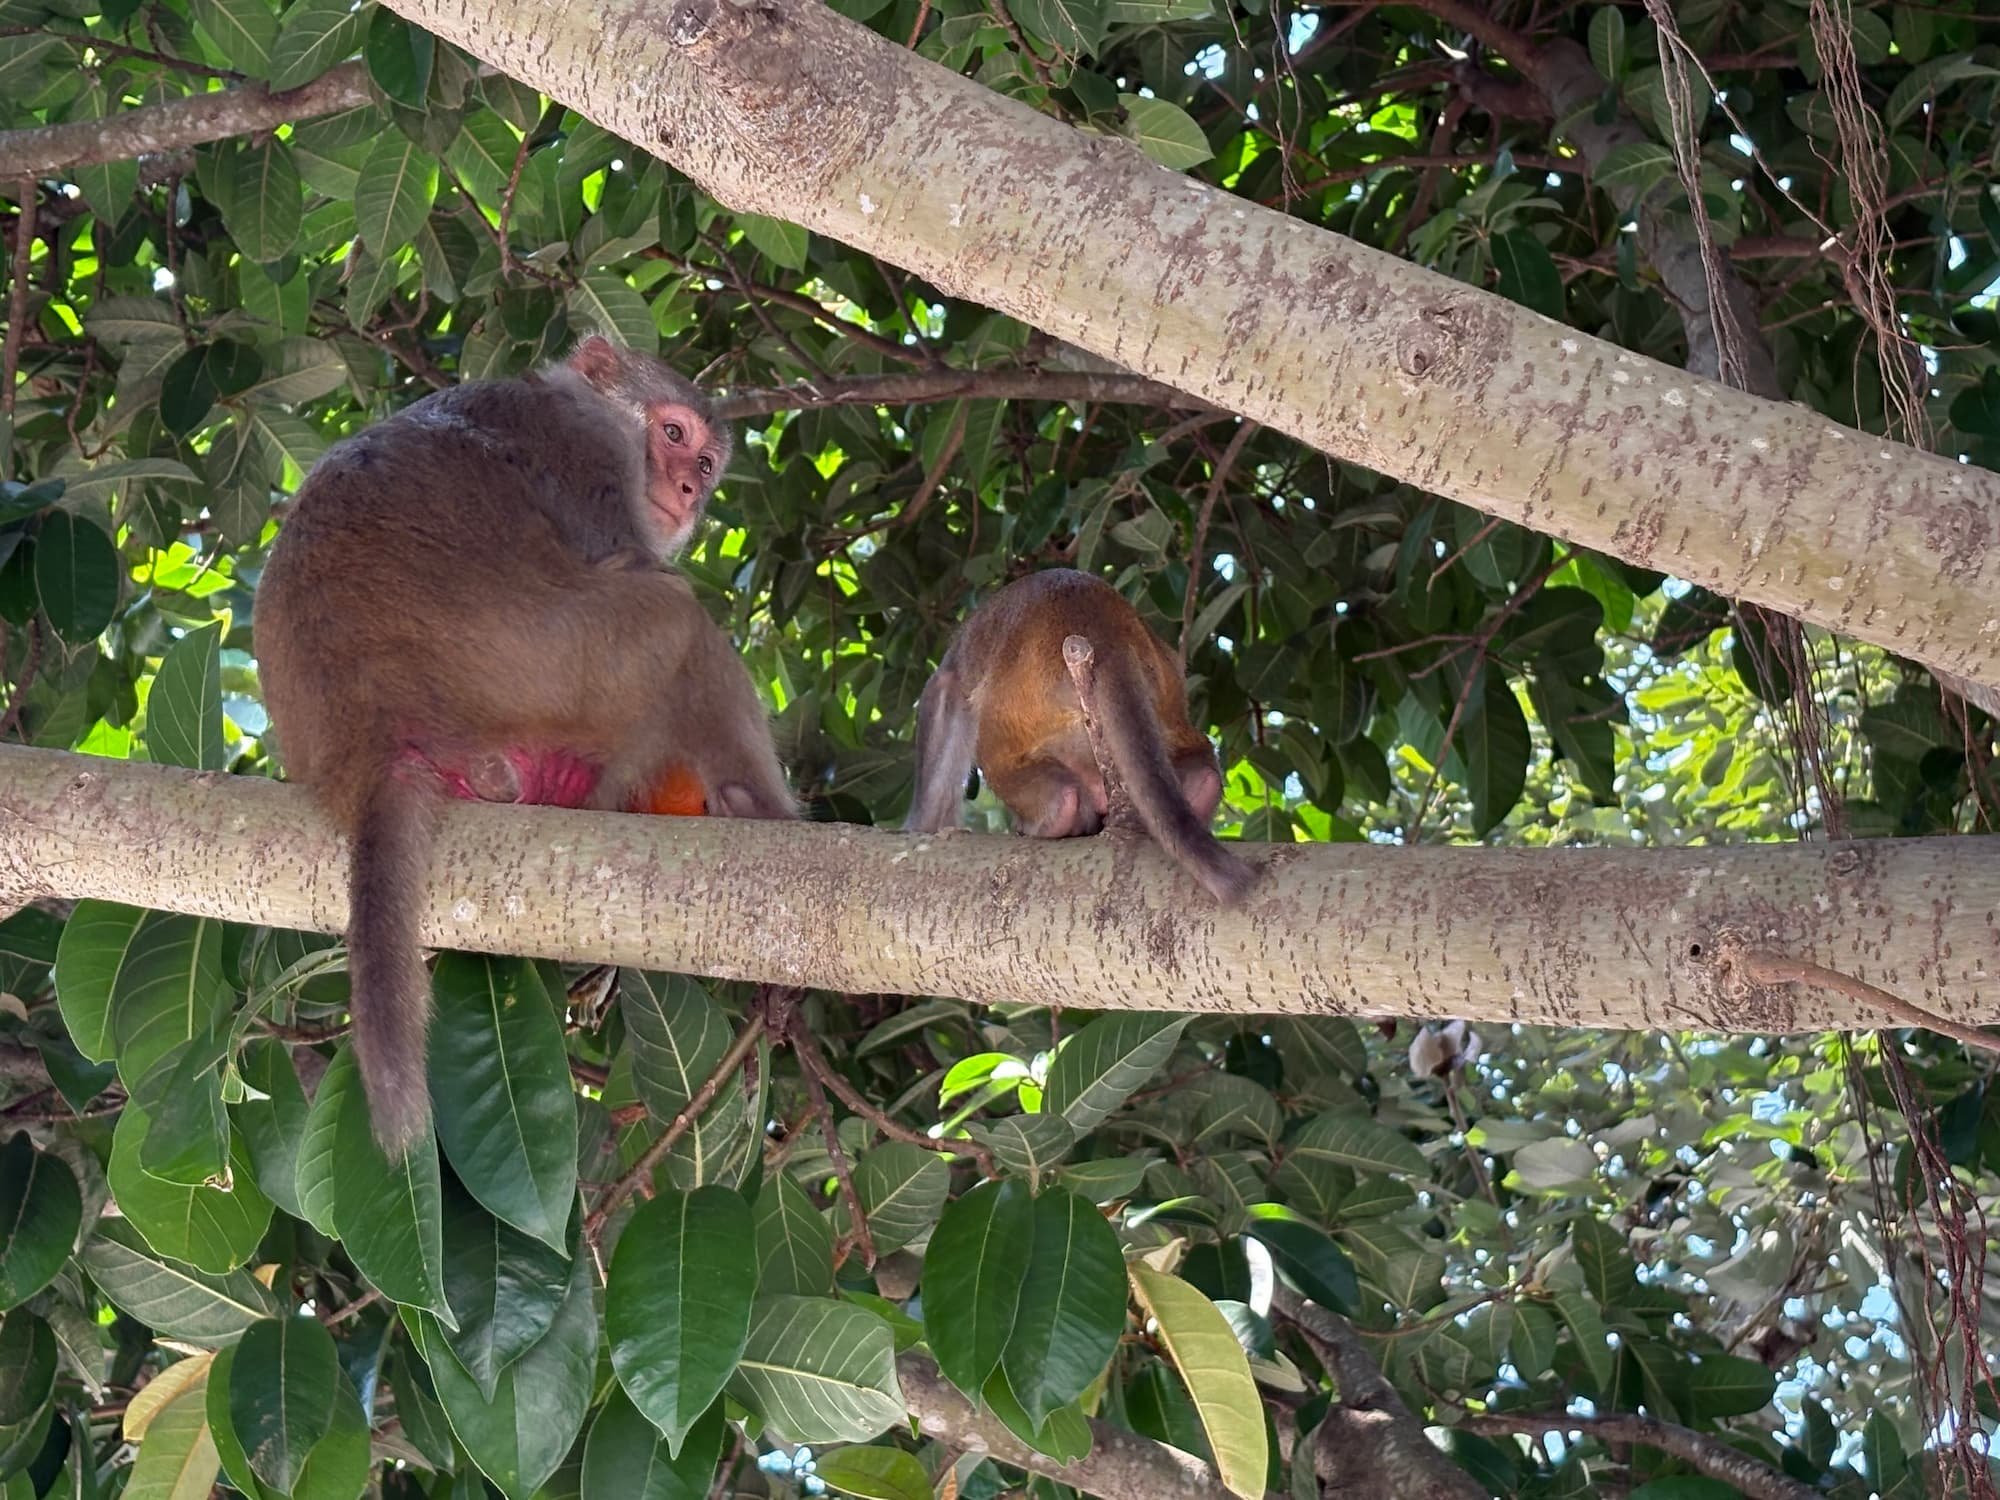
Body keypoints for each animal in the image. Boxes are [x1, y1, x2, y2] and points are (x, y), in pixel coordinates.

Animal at [253, 334, 794, 1156]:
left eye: (705, 466)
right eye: (672, 434)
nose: (685, 490)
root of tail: (368, 751)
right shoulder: (585, 452)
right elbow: (636, 566)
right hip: (547, 666)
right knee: (672, 619)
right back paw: (758, 806)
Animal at [904, 568, 1256, 905]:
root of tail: (1105, 634)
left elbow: (944, 692)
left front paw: (919, 826)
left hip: (1012, 709)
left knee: (997, 746)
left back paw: (1054, 816)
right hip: (1167, 698)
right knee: (1196, 761)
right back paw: (1198, 788)